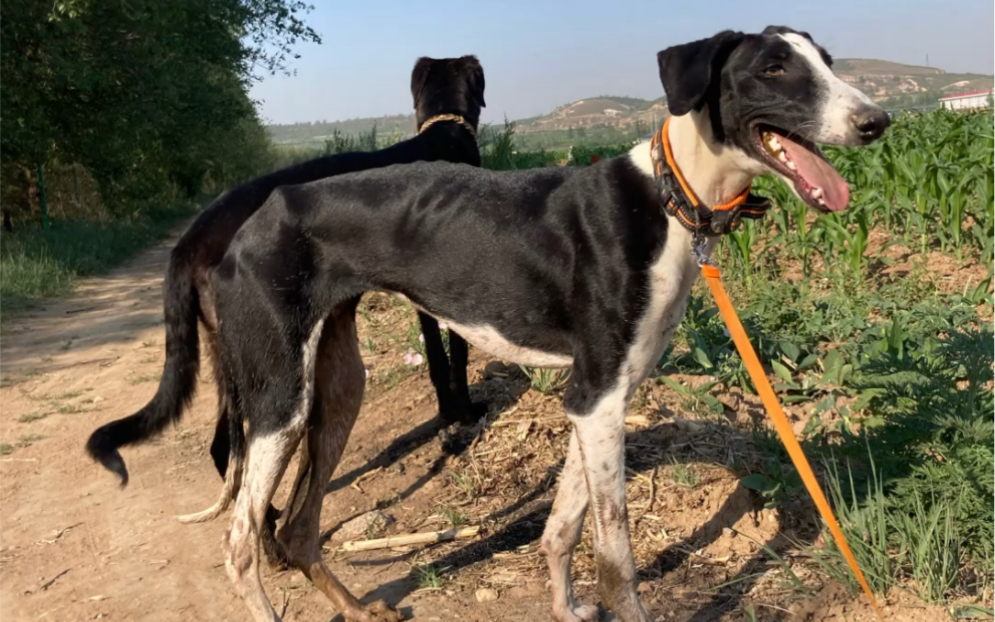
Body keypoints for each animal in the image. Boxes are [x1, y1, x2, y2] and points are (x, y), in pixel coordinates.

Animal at [84, 54, 486, 564]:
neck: (442, 131)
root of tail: (187, 244)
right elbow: (458, 357)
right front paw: (466, 413)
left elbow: (436, 360)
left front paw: (451, 414)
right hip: (269, 359)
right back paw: (273, 542)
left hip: (233, 359)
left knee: (224, 450)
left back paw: (272, 533)